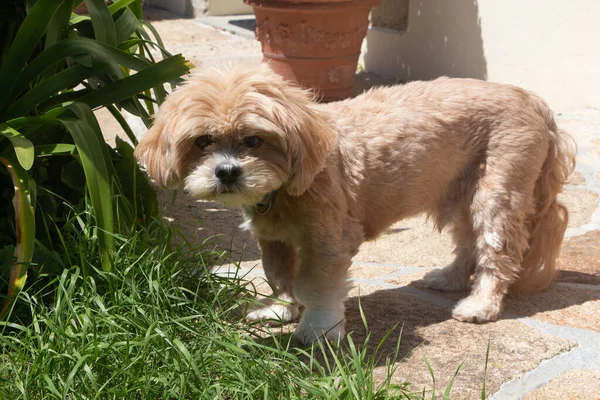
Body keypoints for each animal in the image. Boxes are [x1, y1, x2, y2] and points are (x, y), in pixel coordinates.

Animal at [135, 62, 576, 344]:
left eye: (254, 140)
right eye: (203, 141)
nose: (227, 171)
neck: (288, 187)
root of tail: (535, 102)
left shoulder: (328, 241)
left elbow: (315, 284)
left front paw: (318, 328)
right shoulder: (273, 239)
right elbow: (279, 276)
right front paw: (280, 309)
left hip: (497, 193)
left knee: (497, 251)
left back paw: (481, 304)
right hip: (460, 191)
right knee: (468, 243)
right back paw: (450, 279)